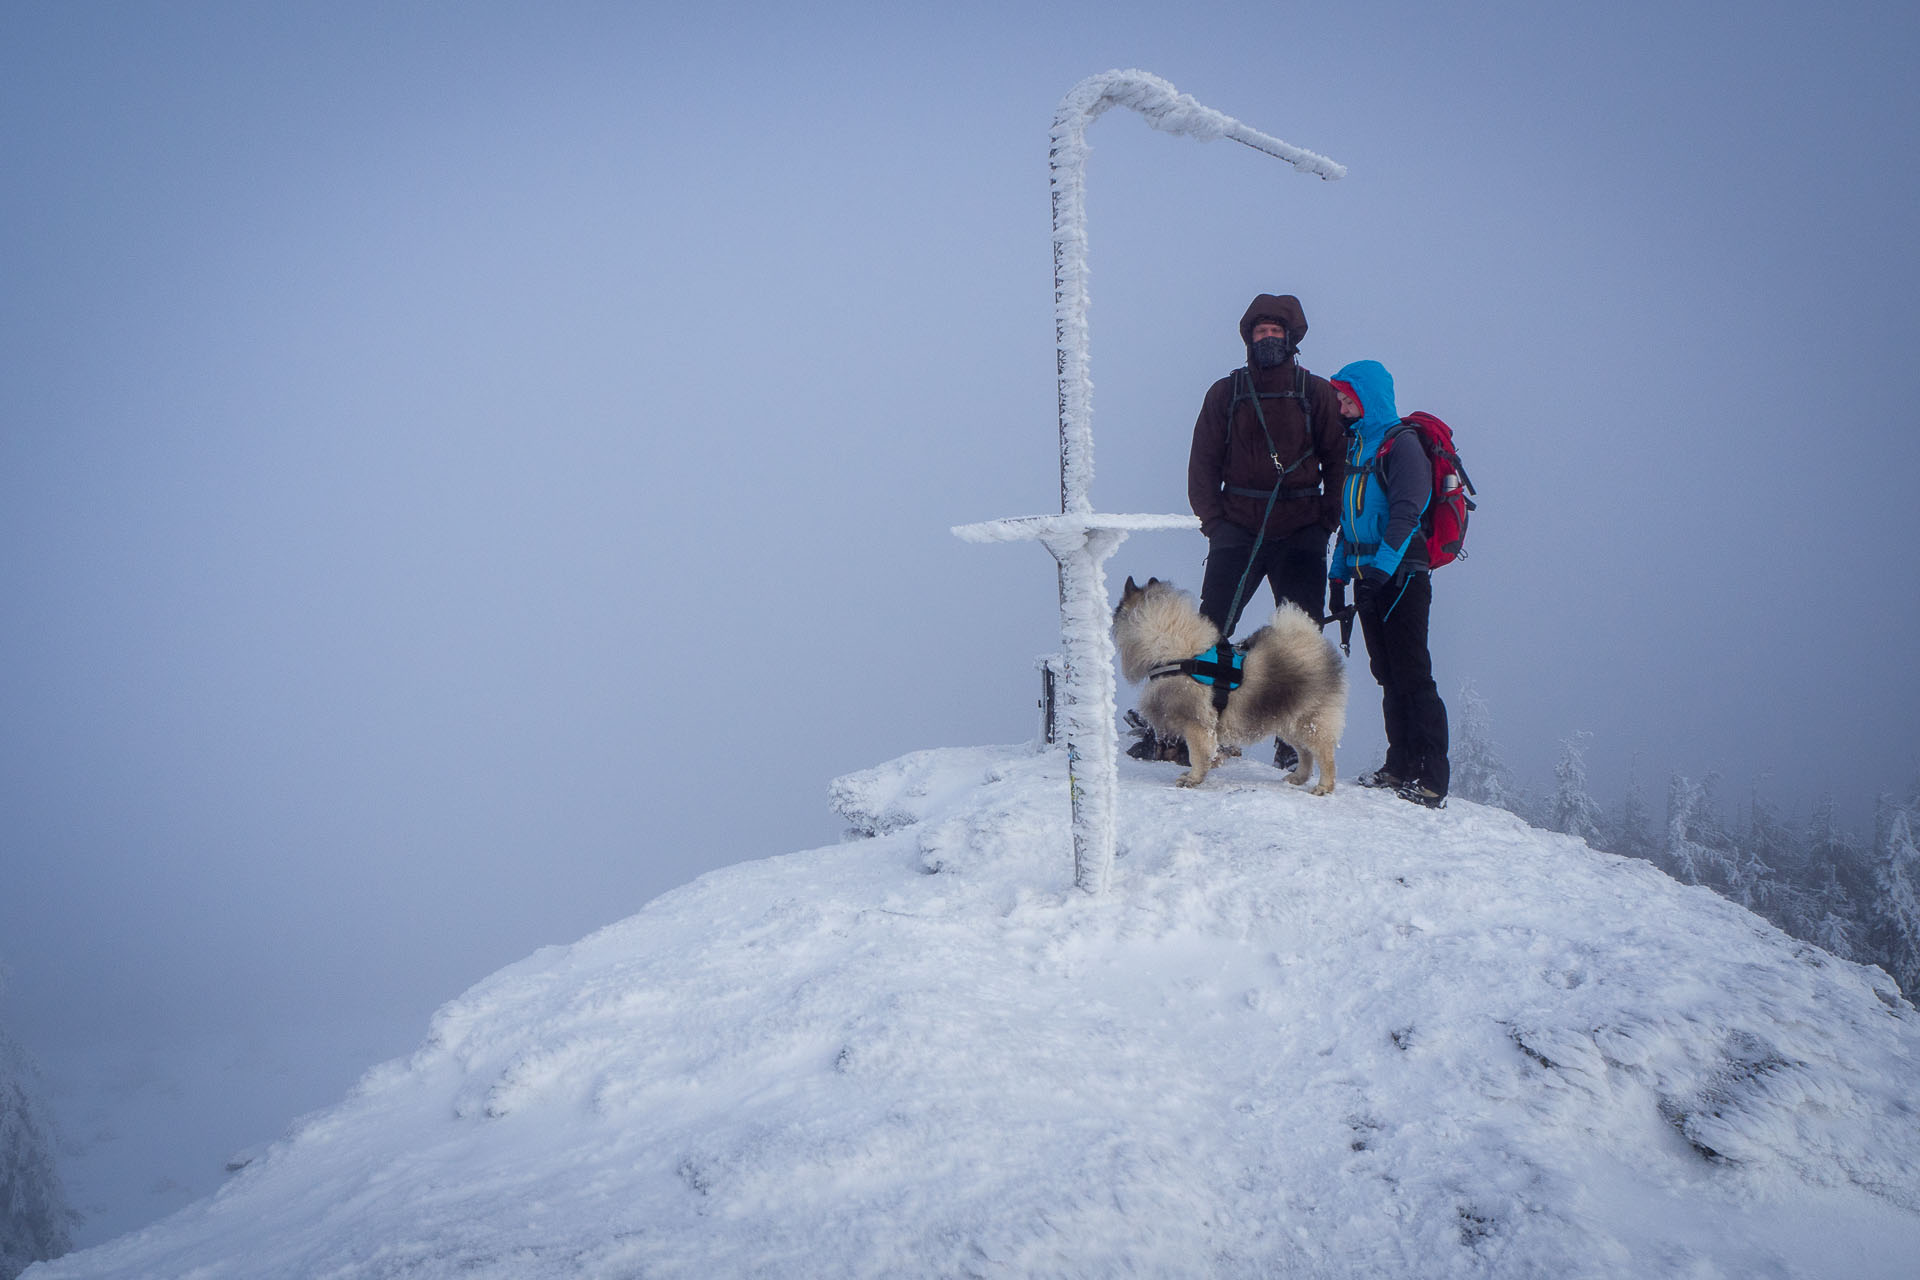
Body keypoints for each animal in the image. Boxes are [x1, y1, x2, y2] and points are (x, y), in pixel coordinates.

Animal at [1113, 579, 1351, 794]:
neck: (1177, 653)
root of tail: (1311, 642)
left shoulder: (1196, 725)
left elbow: (1197, 755)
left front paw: (1192, 779)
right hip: (1288, 722)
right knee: (1305, 753)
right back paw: (1298, 777)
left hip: (1310, 722)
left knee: (1324, 756)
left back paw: (1323, 787)